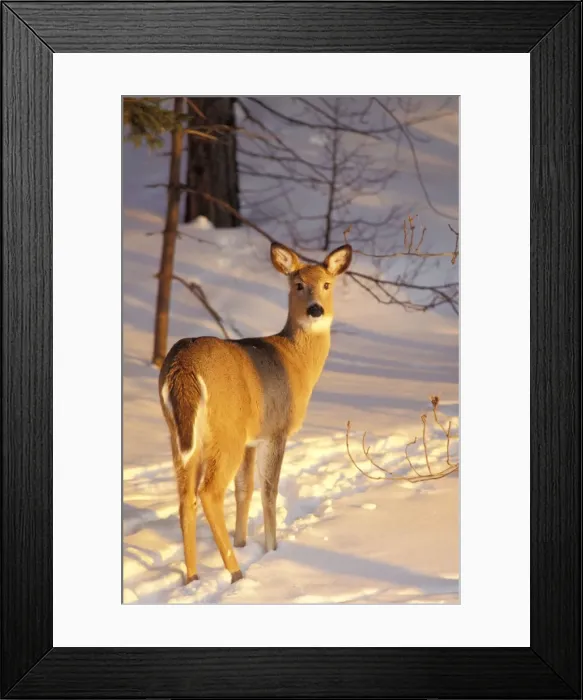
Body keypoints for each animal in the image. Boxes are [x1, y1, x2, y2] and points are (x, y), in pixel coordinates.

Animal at [159, 241, 352, 585]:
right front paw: (271, 549)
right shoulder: (276, 429)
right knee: (209, 492)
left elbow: (244, 489)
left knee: (185, 497)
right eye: (297, 284)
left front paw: (242, 541)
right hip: (226, 431)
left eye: (327, 284)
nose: (316, 309)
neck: (296, 361)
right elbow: (268, 489)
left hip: (180, 434)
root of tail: (182, 366)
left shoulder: (252, 437)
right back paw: (235, 572)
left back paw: (193, 577)